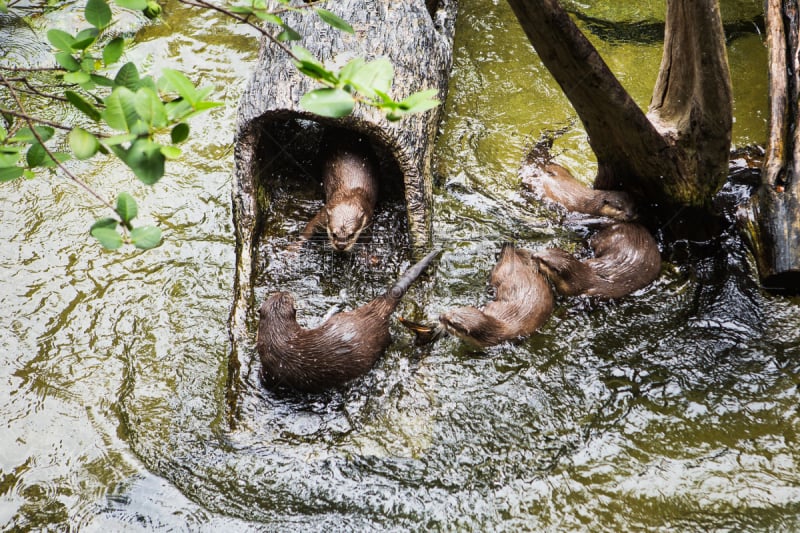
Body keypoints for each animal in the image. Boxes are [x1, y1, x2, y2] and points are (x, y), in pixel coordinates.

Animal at [256, 248, 440, 390]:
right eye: (277, 295)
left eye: (286, 297)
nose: (286, 291)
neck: (277, 336)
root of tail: (373, 312)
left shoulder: (272, 369)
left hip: (379, 341)